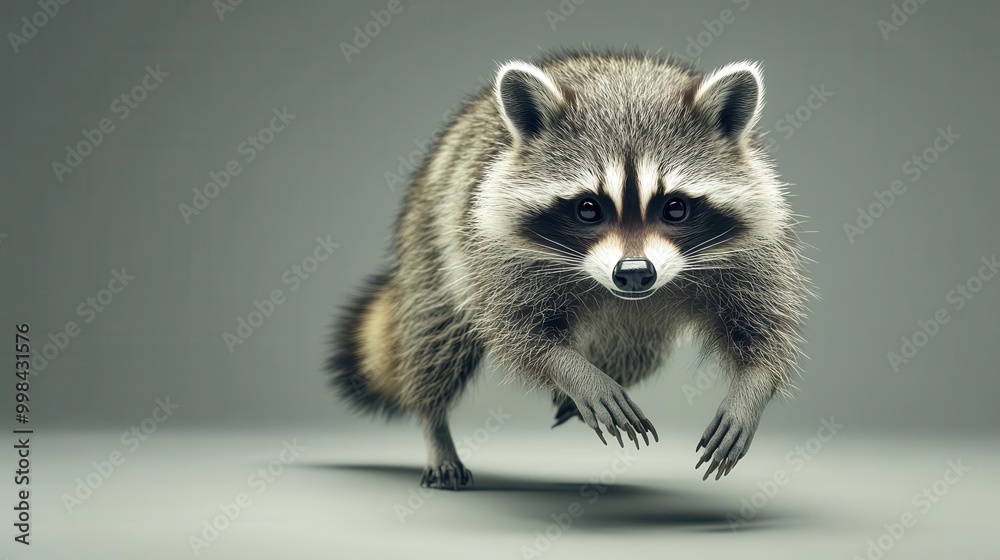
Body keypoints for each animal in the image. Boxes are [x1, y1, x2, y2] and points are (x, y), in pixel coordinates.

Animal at [328, 51, 809, 489]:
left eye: (675, 207)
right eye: (588, 208)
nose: (635, 272)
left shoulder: (754, 247)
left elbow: (765, 328)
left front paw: (751, 388)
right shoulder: (494, 248)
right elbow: (517, 331)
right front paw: (574, 372)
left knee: (638, 347)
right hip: (433, 239)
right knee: (436, 339)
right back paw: (436, 424)